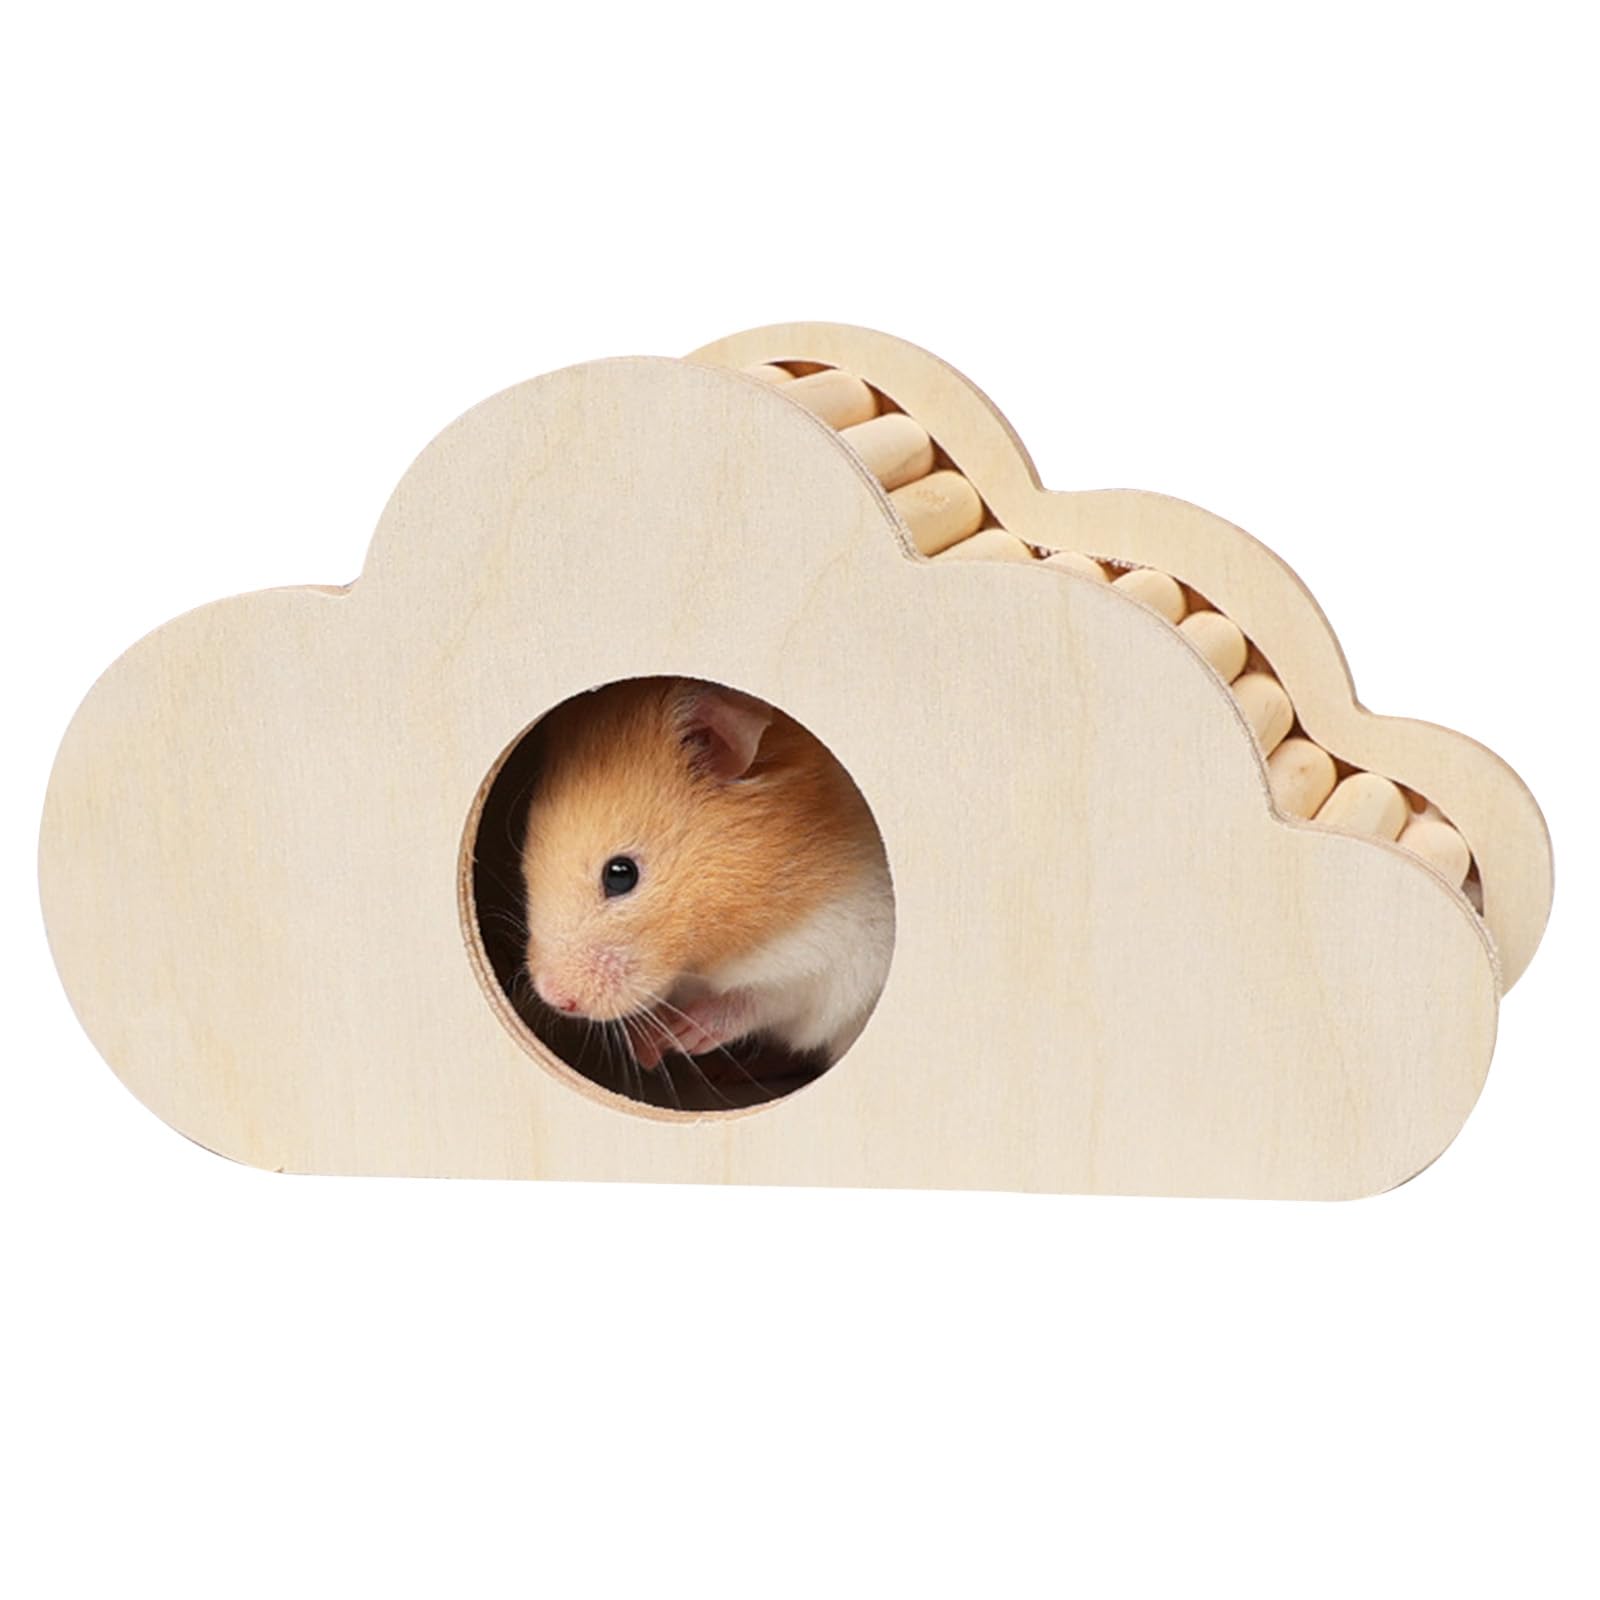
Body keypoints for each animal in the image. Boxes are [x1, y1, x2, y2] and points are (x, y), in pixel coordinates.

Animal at [519, 676, 894, 1074]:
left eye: (620, 875)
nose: (555, 997)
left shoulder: (840, 951)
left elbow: (762, 998)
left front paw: (681, 1035)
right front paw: (647, 1047)